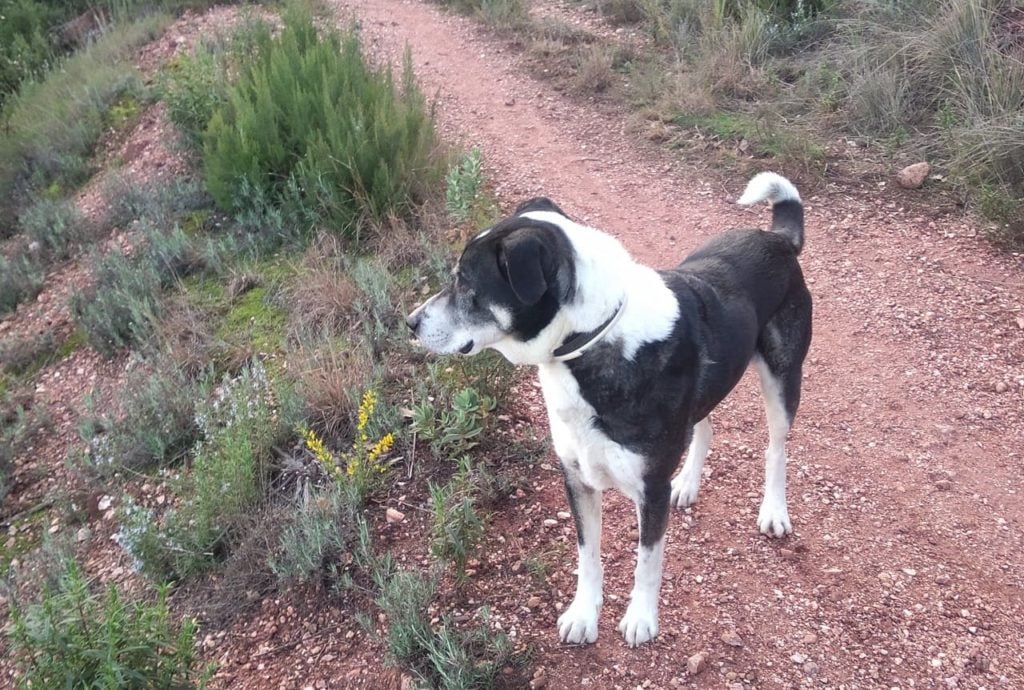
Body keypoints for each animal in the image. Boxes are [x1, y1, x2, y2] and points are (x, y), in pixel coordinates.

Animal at [403, 171, 811, 647]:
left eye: (467, 284)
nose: (410, 322)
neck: (591, 337)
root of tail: (778, 239)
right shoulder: (576, 478)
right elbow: (588, 556)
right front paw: (584, 615)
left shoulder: (650, 488)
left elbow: (647, 562)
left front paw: (641, 618)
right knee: (705, 426)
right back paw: (688, 484)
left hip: (783, 377)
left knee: (776, 448)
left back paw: (774, 512)